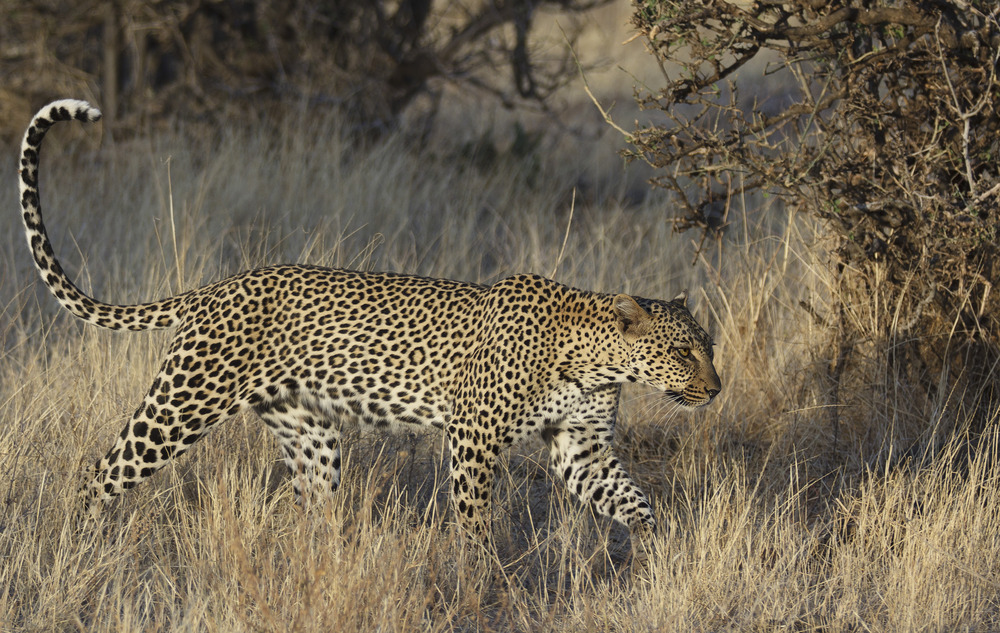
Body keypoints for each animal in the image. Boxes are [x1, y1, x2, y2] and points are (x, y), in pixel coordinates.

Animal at [13, 99, 720, 548]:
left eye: (708, 349)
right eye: (684, 354)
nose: (716, 389)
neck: (595, 365)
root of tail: (215, 287)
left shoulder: (583, 448)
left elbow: (633, 502)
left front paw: (666, 551)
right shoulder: (474, 437)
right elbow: (474, 517)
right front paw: (479, 571)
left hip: (308, 430)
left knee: (313, 503)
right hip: (181, 404)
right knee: (101, 473)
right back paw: (75, 541)